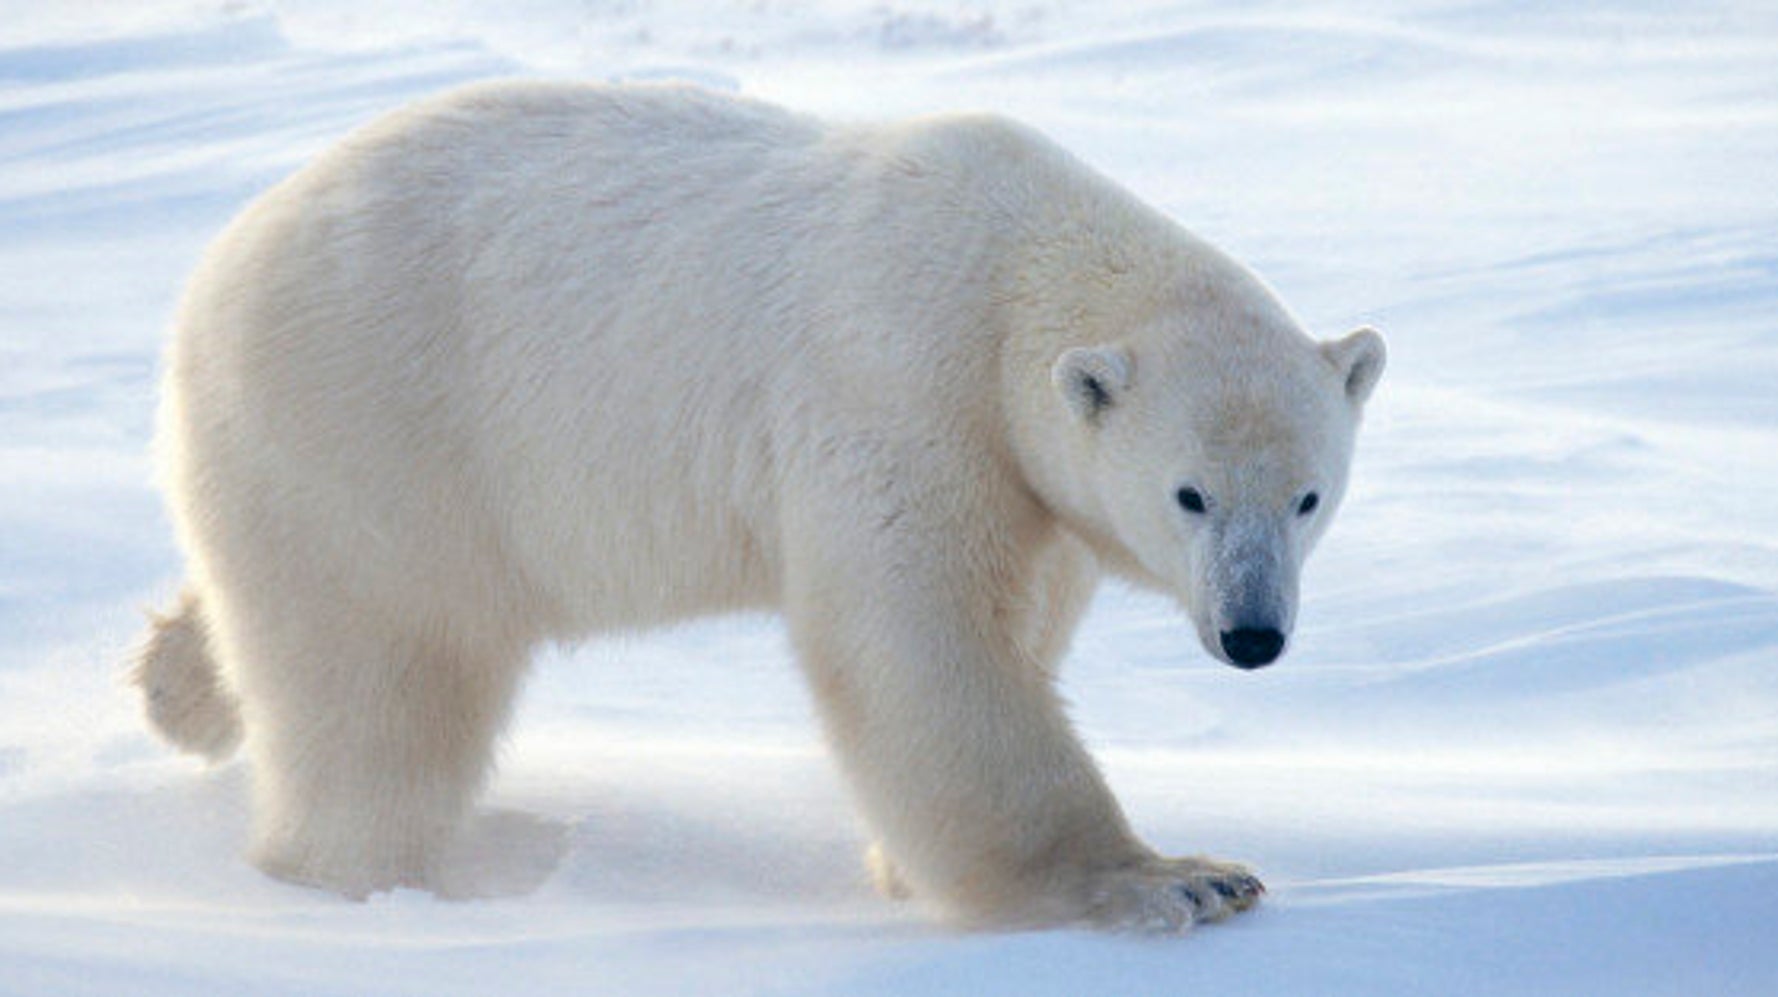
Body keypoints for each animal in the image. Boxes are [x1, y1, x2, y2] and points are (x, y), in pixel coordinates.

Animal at [138, 81, 1386, 931]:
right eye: (1189, 494)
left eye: (1307, 496)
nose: (1252, 634)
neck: (1009, 270)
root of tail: (217, 266)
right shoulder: (898, 391)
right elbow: (919, 646)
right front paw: (1175, 879)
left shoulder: (1026, 477)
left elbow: (1019, 619)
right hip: (379, 428)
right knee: (382, 683)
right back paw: (356, 874)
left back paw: (175, 679)